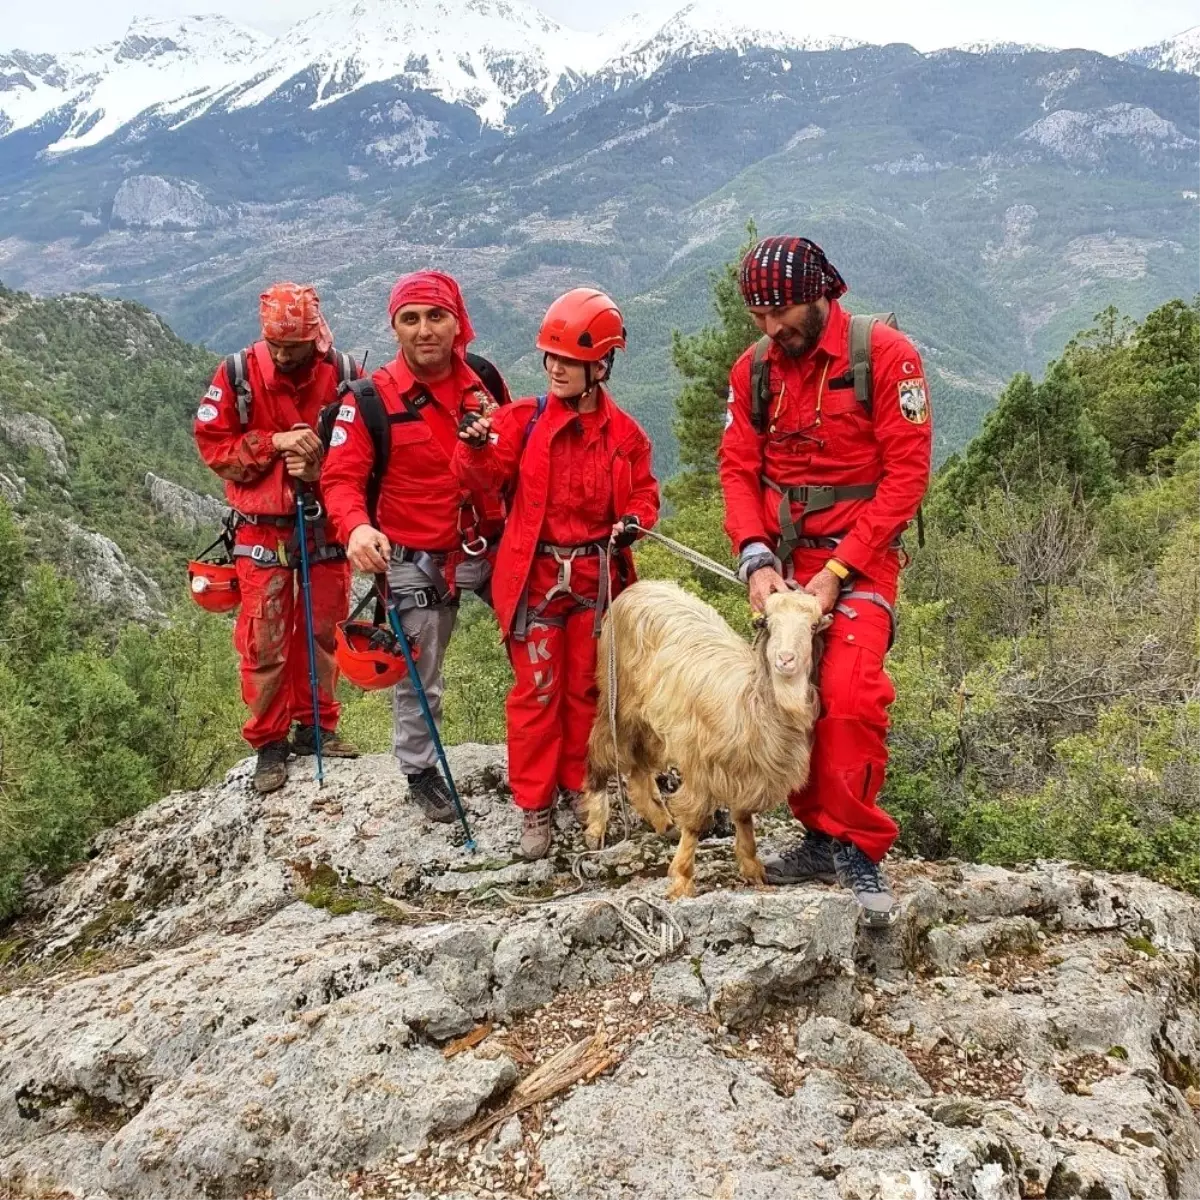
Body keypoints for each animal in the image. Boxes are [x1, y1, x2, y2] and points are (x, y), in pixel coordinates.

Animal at [578, 580, 825, 902]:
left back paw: (663, 821)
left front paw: (752, 866)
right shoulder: (700, 764)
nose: (785, 659)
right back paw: (596, 827)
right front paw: (681, 879)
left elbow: (743, 816)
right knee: (603, 750)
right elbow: (695, 822)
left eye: (813, 626)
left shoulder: (744, 771)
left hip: (654, 720)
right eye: (768, 622)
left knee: (640, 771)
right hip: (618, 698)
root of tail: (640, 587)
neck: (749, 701)